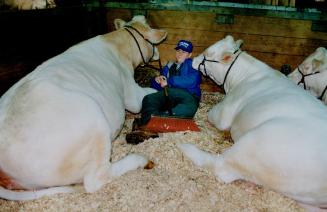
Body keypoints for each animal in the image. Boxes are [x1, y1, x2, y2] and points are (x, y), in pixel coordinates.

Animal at [0, 15, 168, 200]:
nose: (159, 53)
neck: (118, 42)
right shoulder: (132, 94)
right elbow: (147, 94)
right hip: (95, 122)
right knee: (96, 179)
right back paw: (139, 160)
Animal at [179, 35, 327, 209]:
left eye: (207, 53)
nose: (193, 59)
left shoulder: (224, 113)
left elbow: (211, 115)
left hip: (255, 143)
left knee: (221, 167)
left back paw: (186, 147)